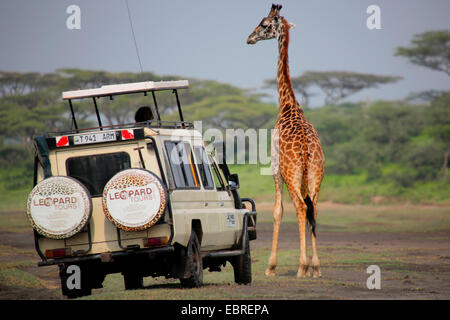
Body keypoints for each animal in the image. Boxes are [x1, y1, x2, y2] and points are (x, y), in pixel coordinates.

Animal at [248, 3, 326, 278]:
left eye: (263, 24)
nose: (249, 38)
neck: (288, 104)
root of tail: (305, 150)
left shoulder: (274, 166)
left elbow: (277, 211)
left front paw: (271, 267)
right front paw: (312, 266)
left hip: (292, 172)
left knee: (301, 207)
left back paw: (302, 266)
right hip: (314, 172)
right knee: (313, 207)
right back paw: (315, 266)